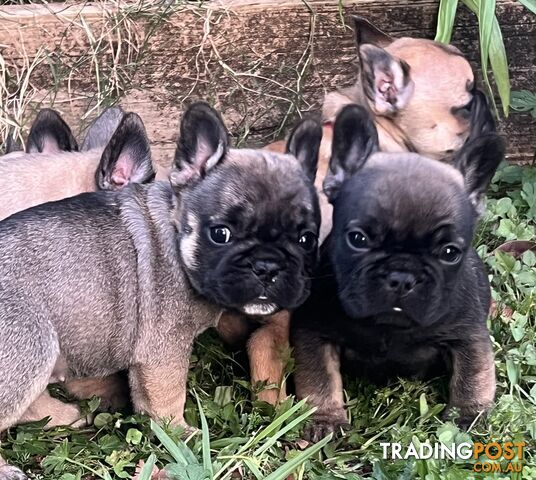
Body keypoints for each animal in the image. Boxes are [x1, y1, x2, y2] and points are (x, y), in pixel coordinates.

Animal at [292, 105, 504, 442]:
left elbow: (472, 376)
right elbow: (319, 378)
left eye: (449, 253)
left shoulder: (468, 336)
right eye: (358, 239)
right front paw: (327, 419)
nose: (402, 276)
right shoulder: (315, 333)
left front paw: (466, 418)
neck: (388, 327)